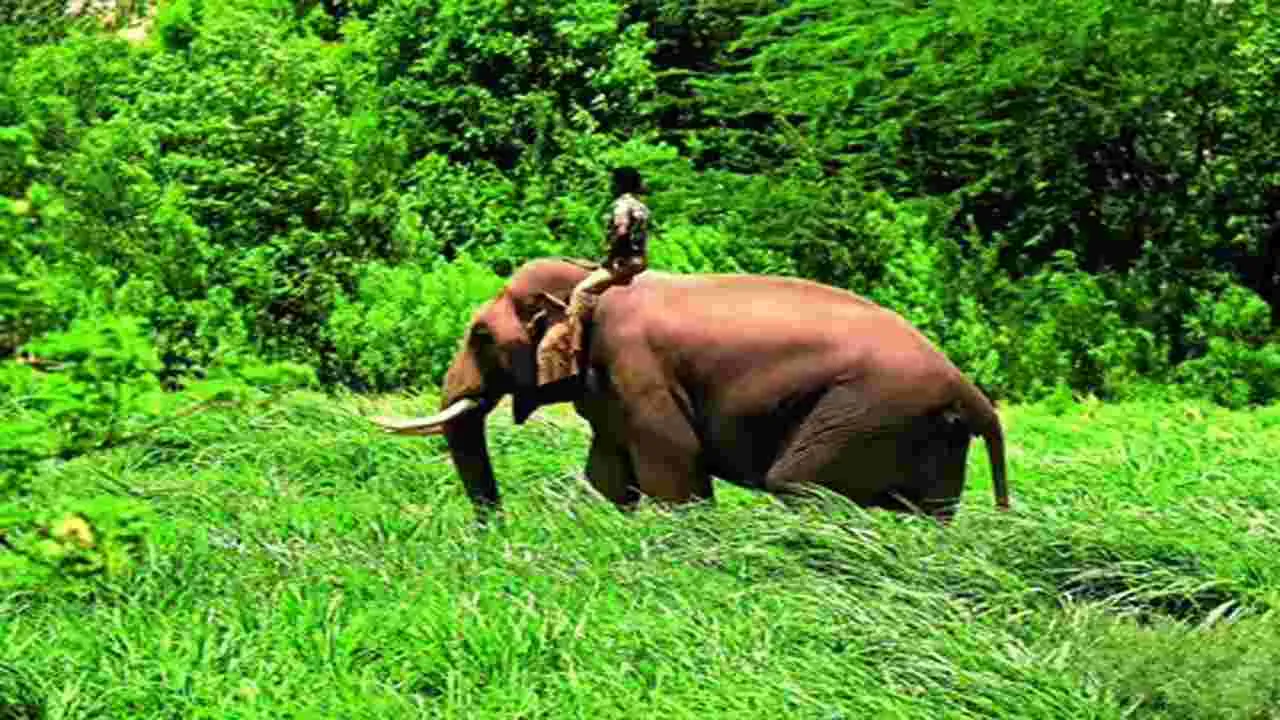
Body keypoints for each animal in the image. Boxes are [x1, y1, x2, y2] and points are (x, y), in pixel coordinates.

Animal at [373, 257, 1009, 523]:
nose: (496, 529)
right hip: (927, 436)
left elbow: (675, 472)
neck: (588, 278)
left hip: (864, 413)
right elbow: (607, 478)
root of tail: (969, 389)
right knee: (931, 514)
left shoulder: (638, 371)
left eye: (480, 335)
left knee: (799, 485)